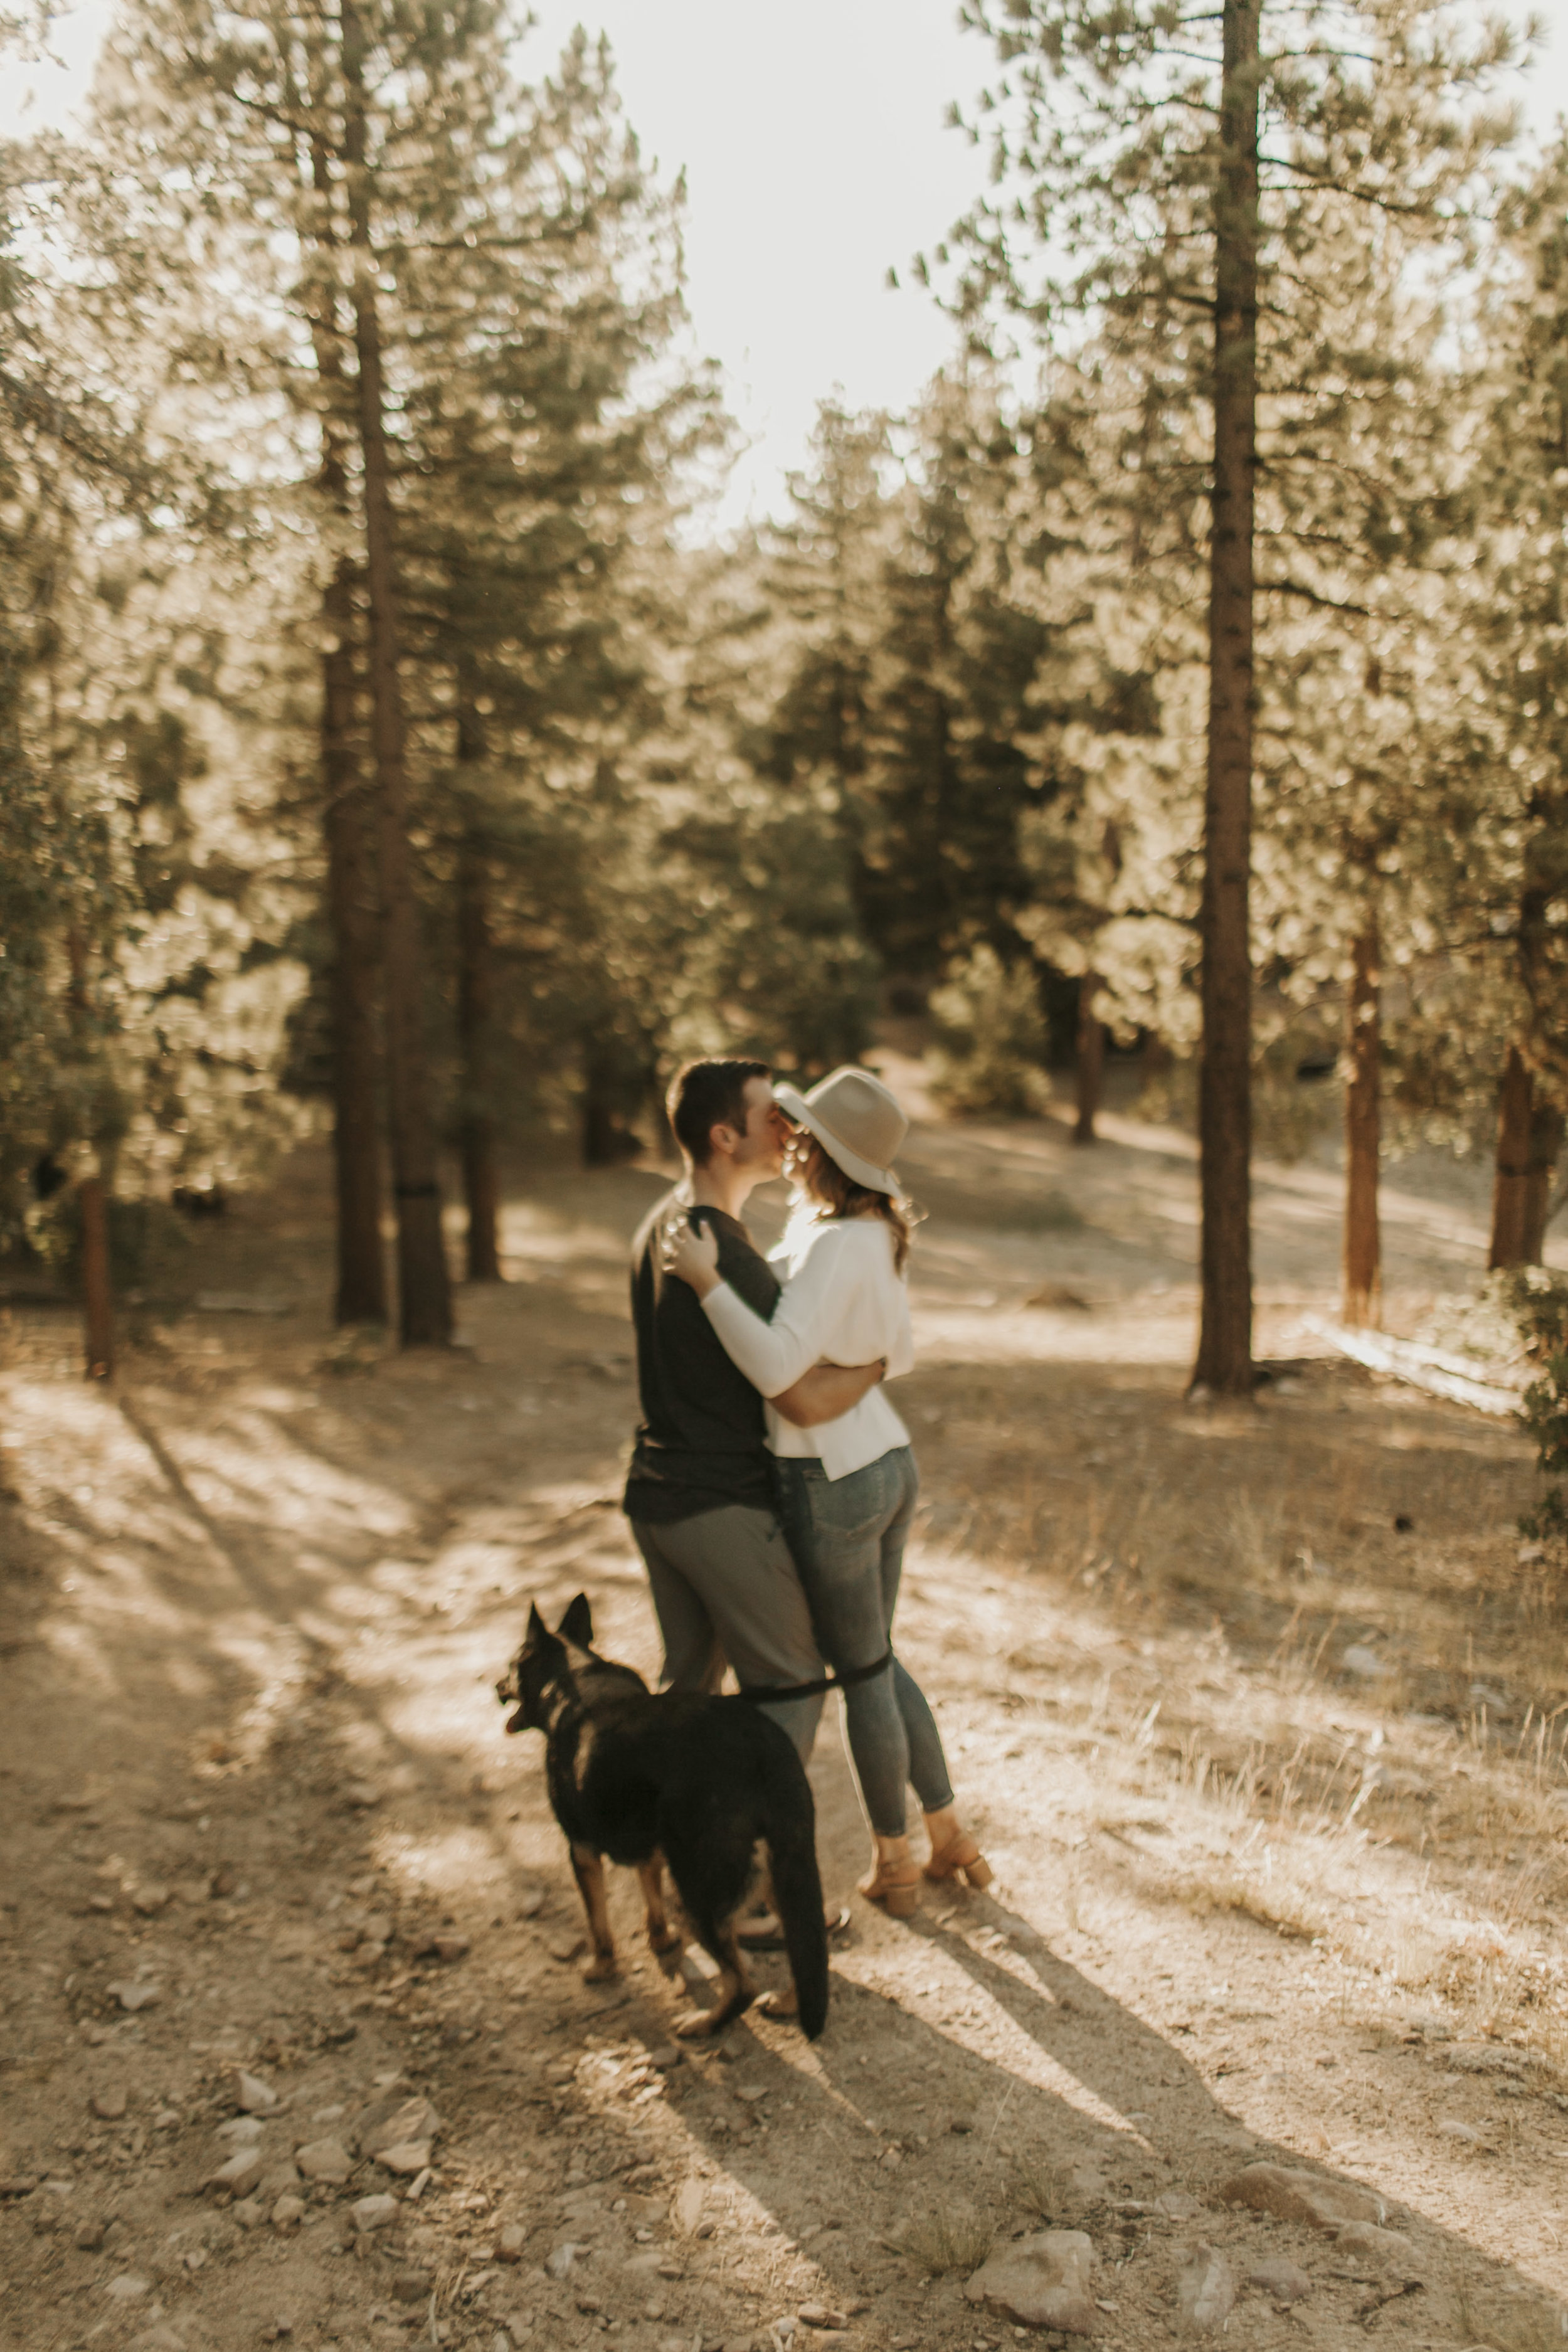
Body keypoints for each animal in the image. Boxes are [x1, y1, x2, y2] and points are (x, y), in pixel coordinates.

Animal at [495, 1599, 827, 2042]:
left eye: (512, 1665)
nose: (496, 1686)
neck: (574, 1675)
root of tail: (764, 1750)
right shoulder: (649, 1846)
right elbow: (648, 1891)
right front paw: (660, 1938)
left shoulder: (581, 1850)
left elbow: (598, 1924)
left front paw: (601, 1968)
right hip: (781, 1871)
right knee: (802, 1948)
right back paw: (788, 2001)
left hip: (696, 1890)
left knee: (741, 1984)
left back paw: (705, 2023)